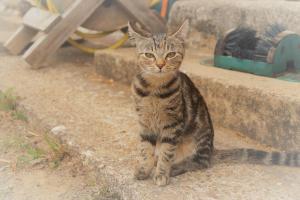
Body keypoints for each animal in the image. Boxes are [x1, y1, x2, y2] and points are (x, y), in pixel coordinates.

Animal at [127, 20, 298, 186]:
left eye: (171, 54)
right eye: (149, 55)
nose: (160, 65)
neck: (154, 89)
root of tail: (212, 150)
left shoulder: (173, 125)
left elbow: (167, 152)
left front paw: (162, 173)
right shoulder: (145, 123)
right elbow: (145, 149)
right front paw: (144, 169)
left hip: (198, 138)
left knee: (200, 162)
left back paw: (175, 167)